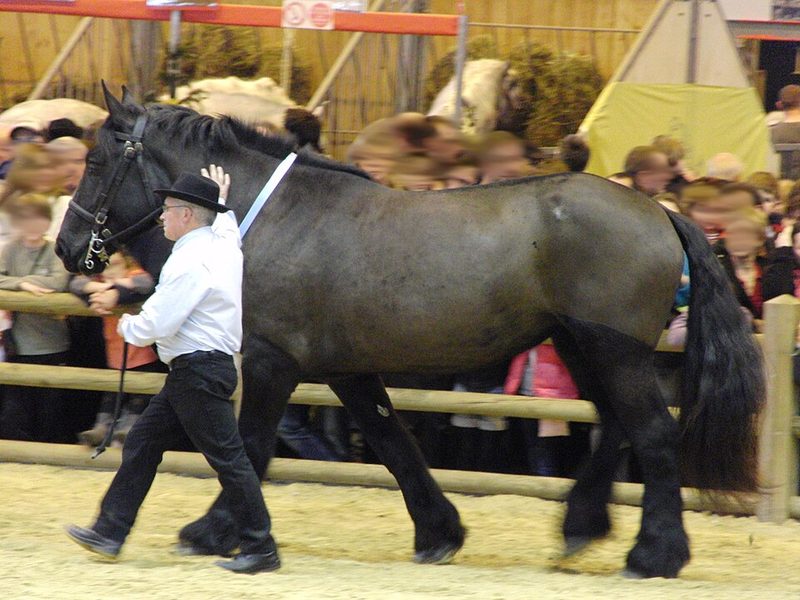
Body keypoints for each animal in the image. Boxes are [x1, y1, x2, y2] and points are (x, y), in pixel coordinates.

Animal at [56, 85, 763, 579]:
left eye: (96, 160)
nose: (67, 247)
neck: (267, 218)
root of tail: (661, 212)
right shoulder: (347, 371)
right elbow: (394, 443)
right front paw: (440, 533)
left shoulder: (269, 361)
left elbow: (249, 448)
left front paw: (213, 532)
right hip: (580, 345)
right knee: (617, 428)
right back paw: (581, 528)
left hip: (611, 350)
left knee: (654, 435)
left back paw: (655, 554)